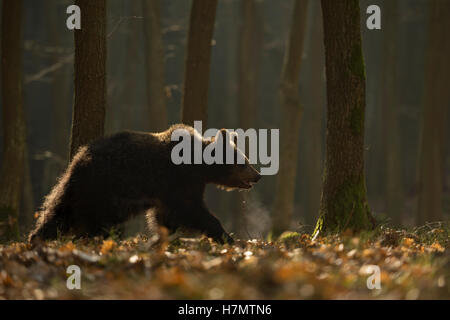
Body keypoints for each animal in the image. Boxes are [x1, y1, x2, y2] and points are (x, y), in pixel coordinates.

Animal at [29, 124, 260, 244]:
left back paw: (38, 237)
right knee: (90, 217)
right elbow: (192, 210)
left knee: (59, 210)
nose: (258, 175)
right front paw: (227, 237)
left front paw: (165, 236)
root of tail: (79, 158)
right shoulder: (178, 180)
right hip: (105, 188)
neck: (199, 166)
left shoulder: (168, 192)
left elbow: (165, 216)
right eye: (243, 161)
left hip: (82, 188)